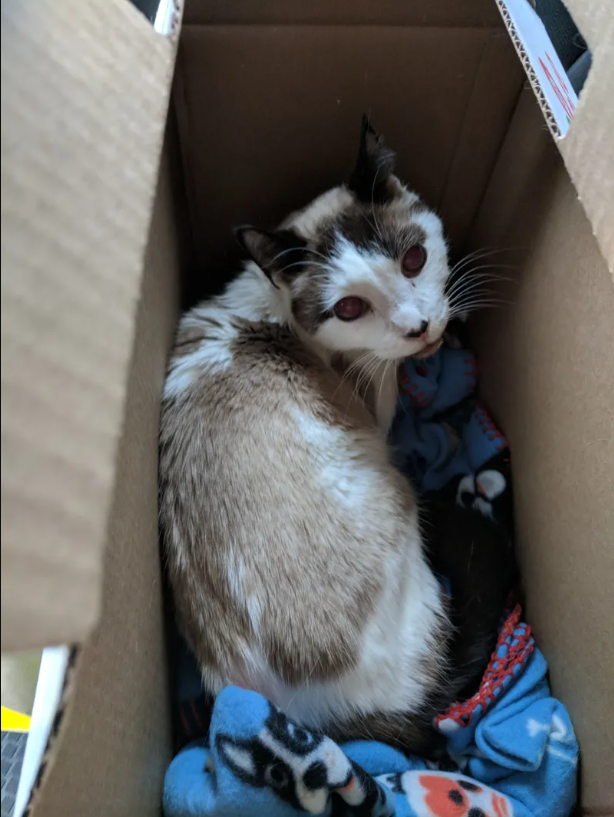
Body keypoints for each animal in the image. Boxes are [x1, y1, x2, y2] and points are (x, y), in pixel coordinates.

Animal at [159, 118, 516, 756]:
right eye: (350, 308)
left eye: (414, 259)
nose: (419, 328)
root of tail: (322, 720)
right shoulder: (380, 401)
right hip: (398, 498)